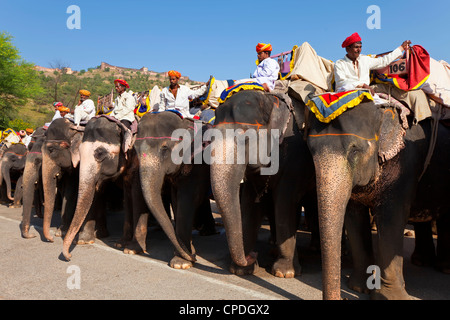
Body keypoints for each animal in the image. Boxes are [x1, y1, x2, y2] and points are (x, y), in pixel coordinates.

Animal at [134, 111, 217, 268]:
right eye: (135, 149)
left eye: (164, 149)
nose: (194, 258)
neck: (183, 123)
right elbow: (176, 199)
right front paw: (185, 254)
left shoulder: (198, 163)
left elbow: (188, 198)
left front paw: (181, 262)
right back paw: (206, 232)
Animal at [306, 98, 450, 300]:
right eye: (310, 151)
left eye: (354, 151)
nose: (341, 297)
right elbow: (354, 217)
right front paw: (359, 288)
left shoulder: (403, 165)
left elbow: (391, 220)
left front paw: (390, 296)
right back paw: (423, 262)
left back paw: (443, 269)